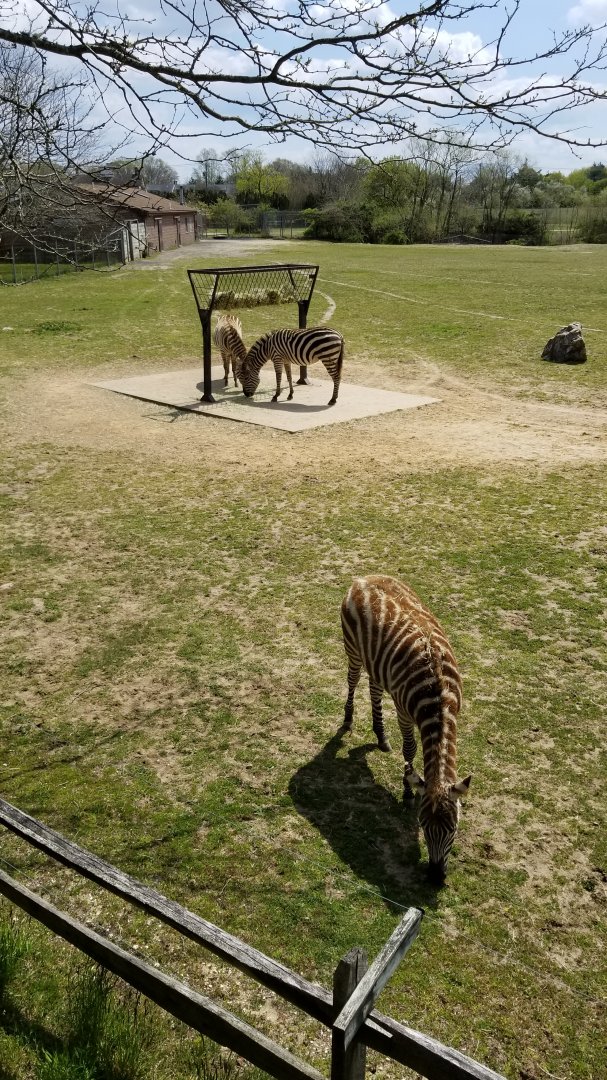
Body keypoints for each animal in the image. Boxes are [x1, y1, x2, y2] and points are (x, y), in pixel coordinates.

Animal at [340, 574, 471, 884]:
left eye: (453, 829)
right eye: (423, 826)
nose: (434, 877)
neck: (439, 698)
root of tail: (363, 577)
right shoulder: (403, 712)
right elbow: (410, 749)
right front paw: (408, 789)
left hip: (377, 665)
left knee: (374, 689)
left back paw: (380, 734)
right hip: (352, 649)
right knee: (353, 680)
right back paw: (348, 718)